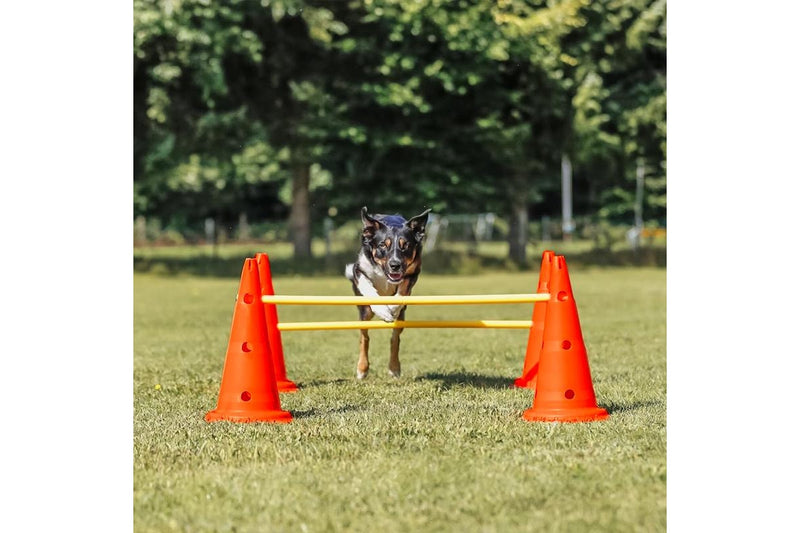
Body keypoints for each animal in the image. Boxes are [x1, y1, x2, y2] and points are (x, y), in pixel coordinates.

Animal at [344, 205, 432, 378]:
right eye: (383, 245)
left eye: (406, 245)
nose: (395, 265)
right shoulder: (359, 269)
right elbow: (367, 287)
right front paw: (383, 311)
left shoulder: (413, 272)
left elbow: (403, 290)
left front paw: (391, 308)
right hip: (364, 313)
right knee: (364, 337)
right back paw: (362, 369)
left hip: (402, 318)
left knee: (395, 338)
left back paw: (394, 367)